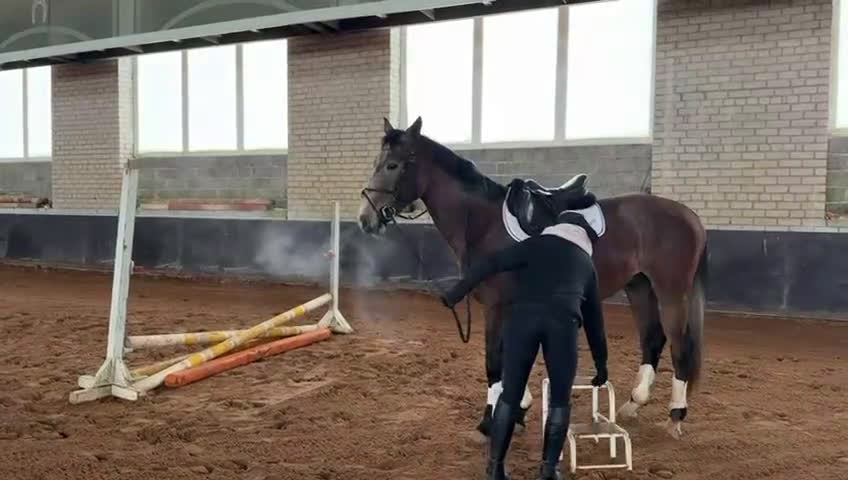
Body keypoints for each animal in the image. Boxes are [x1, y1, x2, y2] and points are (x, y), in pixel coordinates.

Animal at [358, 117, 708, 440]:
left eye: (392, 165)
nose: (366, 218)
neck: (483, 223)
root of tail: (689, 216)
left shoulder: (496, 306)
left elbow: (494, 362)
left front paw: (489, 421)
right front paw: (519, 408)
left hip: (671, 291)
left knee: (679, 346)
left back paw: (676, 415)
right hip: (639, 287)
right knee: (652, 339)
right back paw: (634, 403)